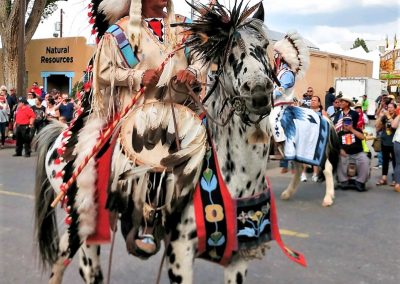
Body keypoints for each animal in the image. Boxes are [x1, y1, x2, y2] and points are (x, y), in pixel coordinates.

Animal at [34, 1, 304, 282]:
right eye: (227, 52)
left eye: (265, 46)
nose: (259, 93)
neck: (238, 175)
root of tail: (64, 135)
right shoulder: (180, 251)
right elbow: (109, 70)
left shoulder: (238, 256)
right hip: (86, 216)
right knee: (85, 266)